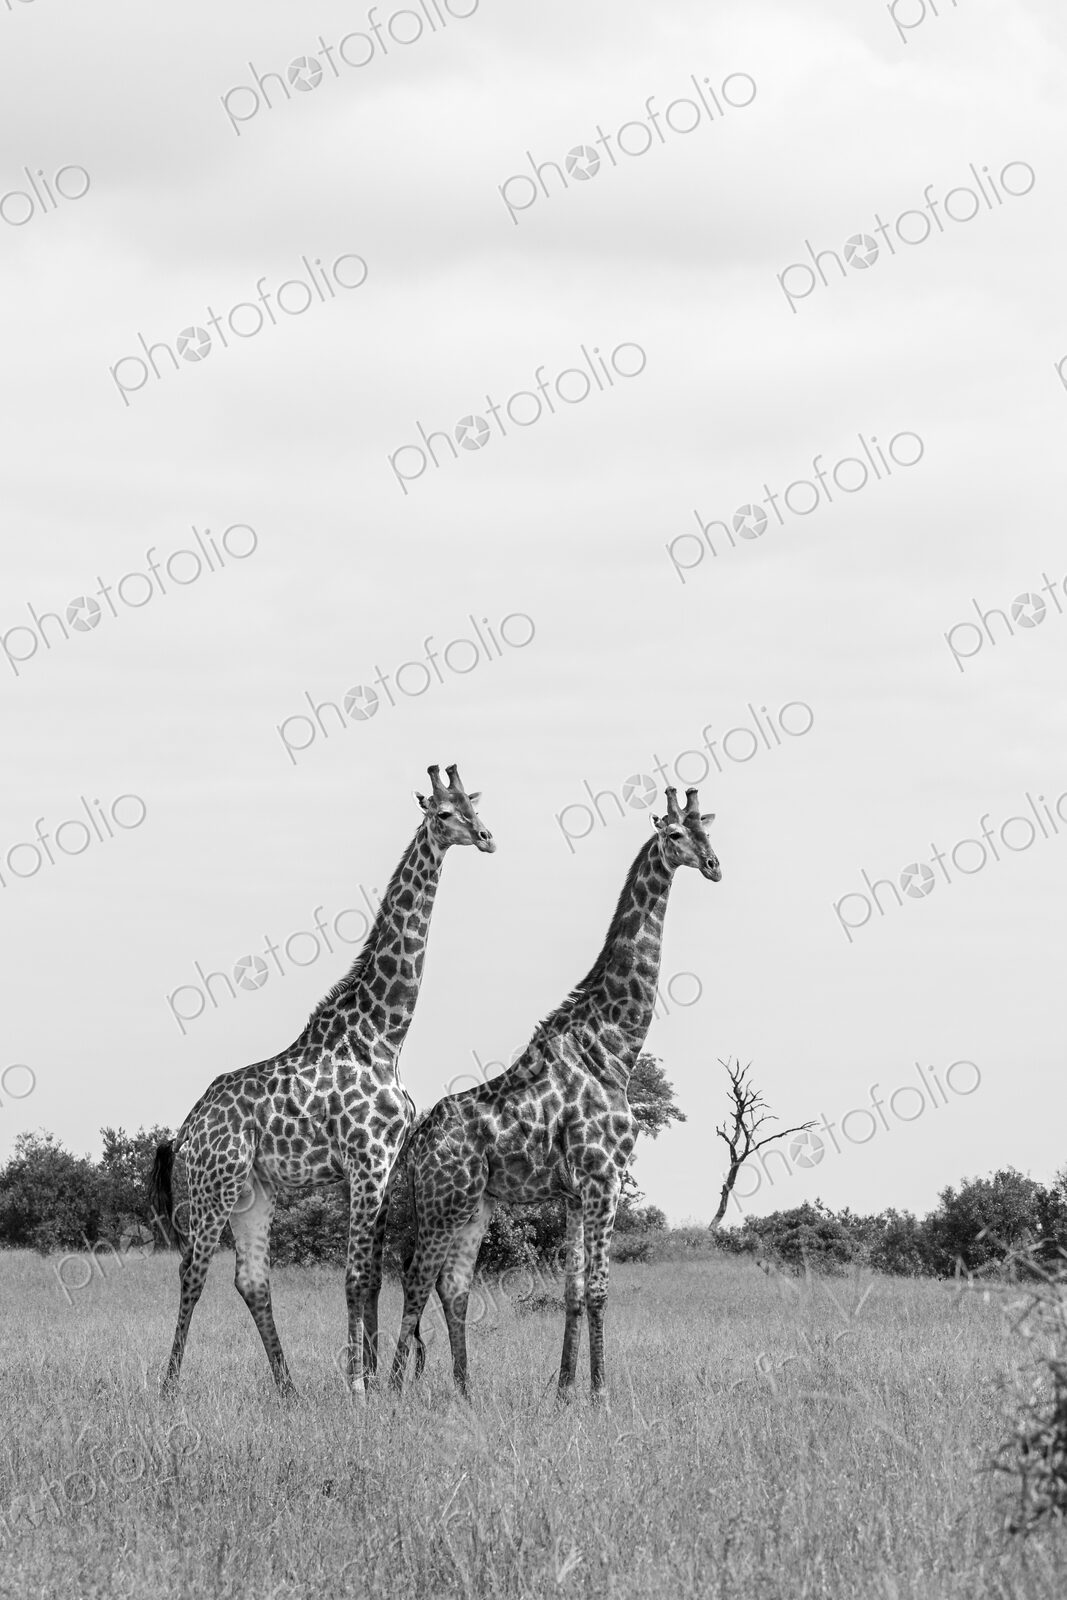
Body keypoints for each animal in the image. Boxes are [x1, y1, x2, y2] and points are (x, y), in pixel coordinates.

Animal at [149, 763, 494, 1398]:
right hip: (212, 1189)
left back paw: (288, 1389)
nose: (486, 837)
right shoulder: (366, 1160)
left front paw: (374, 1381)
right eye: (443, 813)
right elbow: (355, 1276)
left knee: (251, 1279)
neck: (384, 1035)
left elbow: (374, 1277)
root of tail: (184, 1133)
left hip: (253, 1195)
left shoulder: (384, 1165)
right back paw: (168, 1387)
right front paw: (358, 1385)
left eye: (474, 805)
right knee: (192, 1272)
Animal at [388, 785, 719, 1402]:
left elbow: (571, 1290)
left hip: (475, 1205)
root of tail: (416, 1145)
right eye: (675, 835)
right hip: (445, 1202)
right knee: (418, 1278)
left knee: (454, 1284)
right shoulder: (603, 1177)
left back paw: (464, 1390)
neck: (614, 1047)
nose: (714, 865)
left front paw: (564, 1388)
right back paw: (392, 1389)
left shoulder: (572, 1193)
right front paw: (600, 1393)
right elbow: (599, 1289)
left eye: (709, 830)